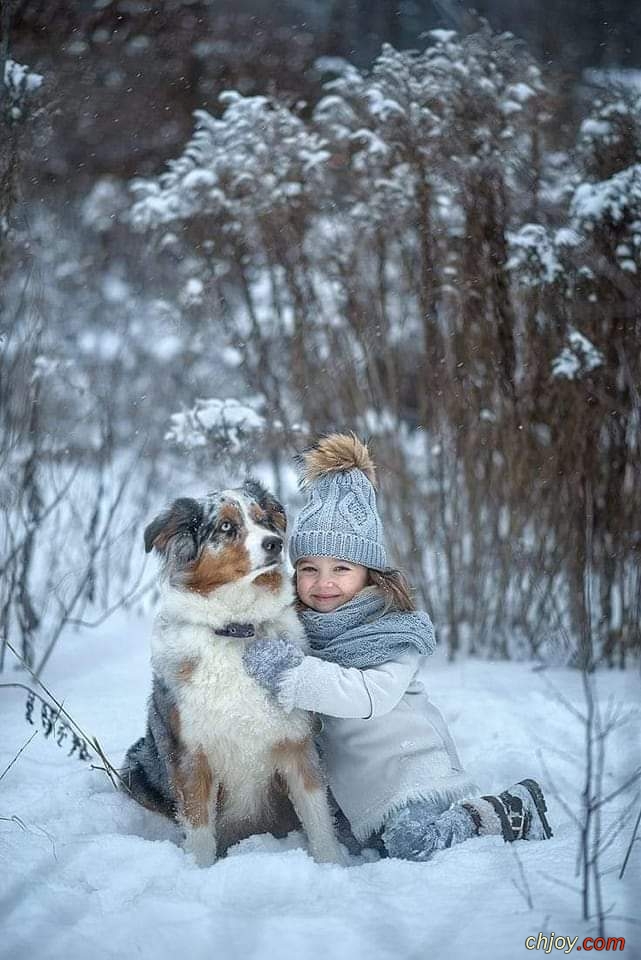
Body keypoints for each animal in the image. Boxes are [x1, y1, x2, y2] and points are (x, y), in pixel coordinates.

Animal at [118, 484, 342, 868]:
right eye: (226, 527)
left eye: (264, 519)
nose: (275, 543)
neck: (237, 628)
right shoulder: (191, 754)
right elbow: (199, 832)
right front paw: (198, 871)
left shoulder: (296, 742)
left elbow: (319, 822)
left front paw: (333, 868)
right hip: (135, 767)